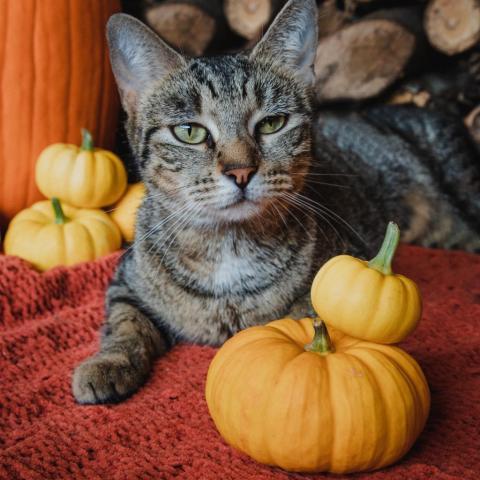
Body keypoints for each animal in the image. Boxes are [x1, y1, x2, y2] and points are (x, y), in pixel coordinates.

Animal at [72, 0, 480, 404]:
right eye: (190, 132)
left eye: (272, 124)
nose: (240, 171)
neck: (228, 247)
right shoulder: (126, 282)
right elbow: (125, 324)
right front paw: (106, 363)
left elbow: (308, 318)